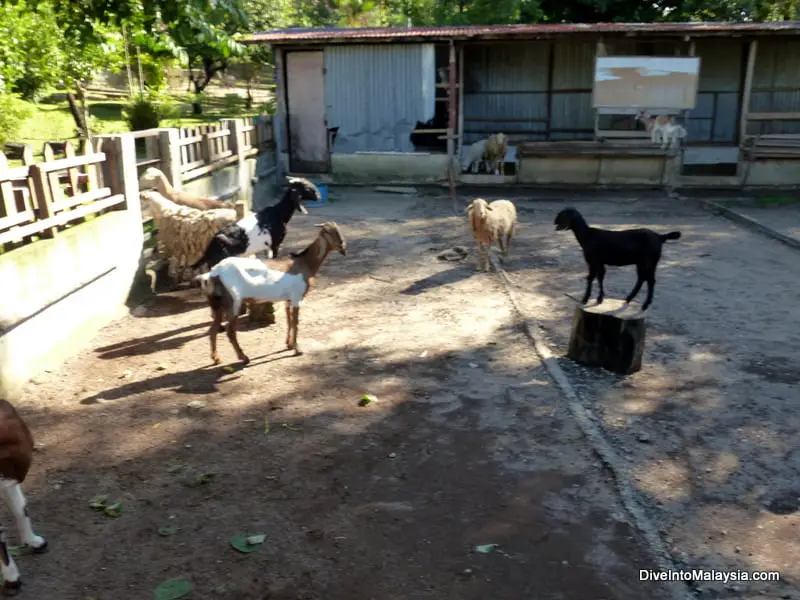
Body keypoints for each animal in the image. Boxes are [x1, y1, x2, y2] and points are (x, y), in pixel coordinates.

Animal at [195, 222, 347, 364]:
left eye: (338, 230)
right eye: (328, 232)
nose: (343, 247)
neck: (304, 263)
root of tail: (213, 273)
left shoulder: (288, 299)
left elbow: (289, 320)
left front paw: (289, 345)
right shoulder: (297, 297)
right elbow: (296, 322)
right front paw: (298, 349)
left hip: (218, 303)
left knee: (213, 329)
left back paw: (216, 358)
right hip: (233, 302)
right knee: (230, 331)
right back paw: (244, 357)